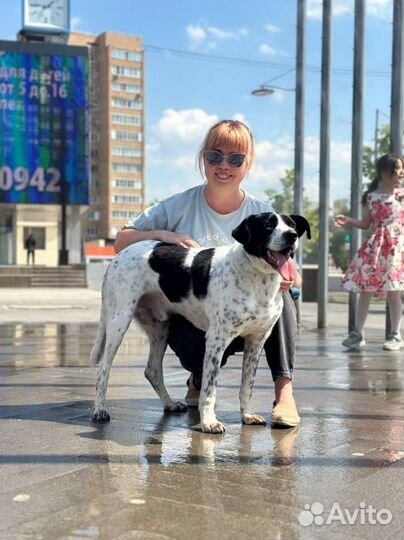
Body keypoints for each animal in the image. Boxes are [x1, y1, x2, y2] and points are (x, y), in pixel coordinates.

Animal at [91, 212, 310, 434]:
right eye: (267, 225)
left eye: (292, 225)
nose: (291, 236)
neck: (258, 278)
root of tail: (118, 256)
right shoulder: (216, 340)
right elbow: (209, 389)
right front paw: (209, 422)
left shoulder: (256, 342)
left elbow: (247, 386)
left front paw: (247, 415)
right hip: (119, 321)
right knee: (103, 369)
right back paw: (100, 410)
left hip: (160, 328)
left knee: (152, 370)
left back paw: (169, 403)